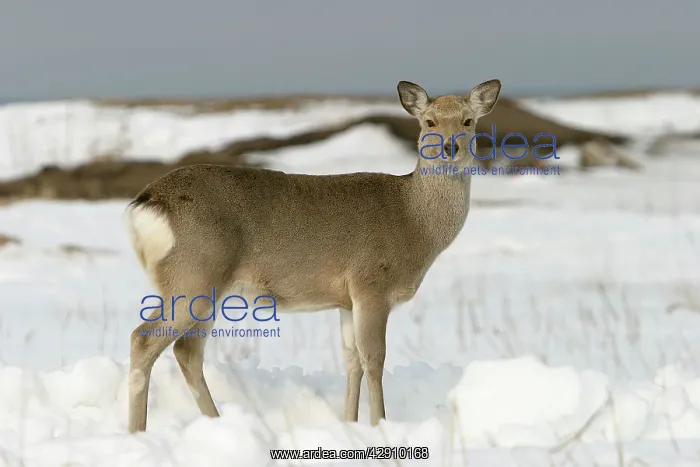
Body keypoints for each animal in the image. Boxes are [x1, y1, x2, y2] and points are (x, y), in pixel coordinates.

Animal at [124, 79, 502, 432]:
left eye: (468, 121)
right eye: (429, 122)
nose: (450, 147)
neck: (414, 222)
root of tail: (145, 203)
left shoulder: (347, 300)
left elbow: (351, 361)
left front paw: (349, 423)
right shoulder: (371, 284)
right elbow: (375, 359)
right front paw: (379, 425)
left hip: (206, 290)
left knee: (186, 351)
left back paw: (216, 422)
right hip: (192, 276)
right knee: (143, 339)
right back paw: (137, 431)